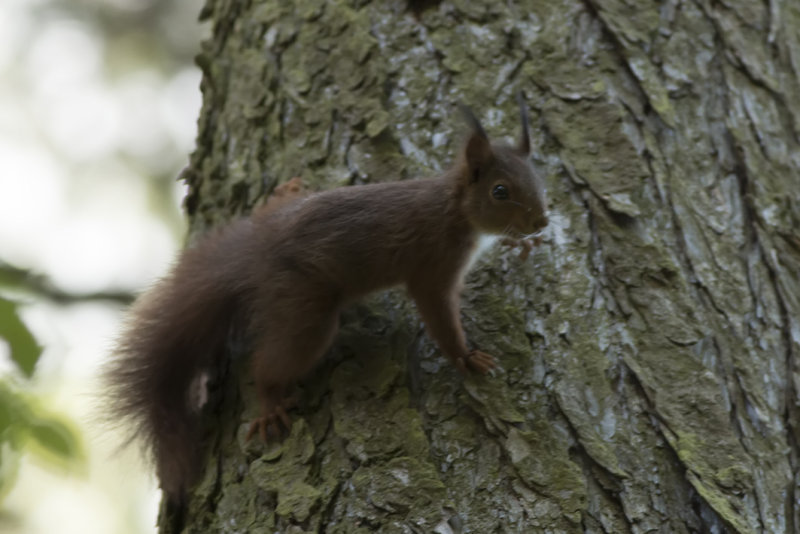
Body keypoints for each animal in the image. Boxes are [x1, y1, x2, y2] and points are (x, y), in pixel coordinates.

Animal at [103, 98, 548, 504]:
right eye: (500, 191)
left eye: (538, 179)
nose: (541, 221)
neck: (455, 207)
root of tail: (255, 254)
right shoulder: (433, 267)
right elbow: (439, 316)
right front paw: (466, 357)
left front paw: (523, 242)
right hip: (305, 311)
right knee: (269, 363)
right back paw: (270, 403)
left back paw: (287, 189)